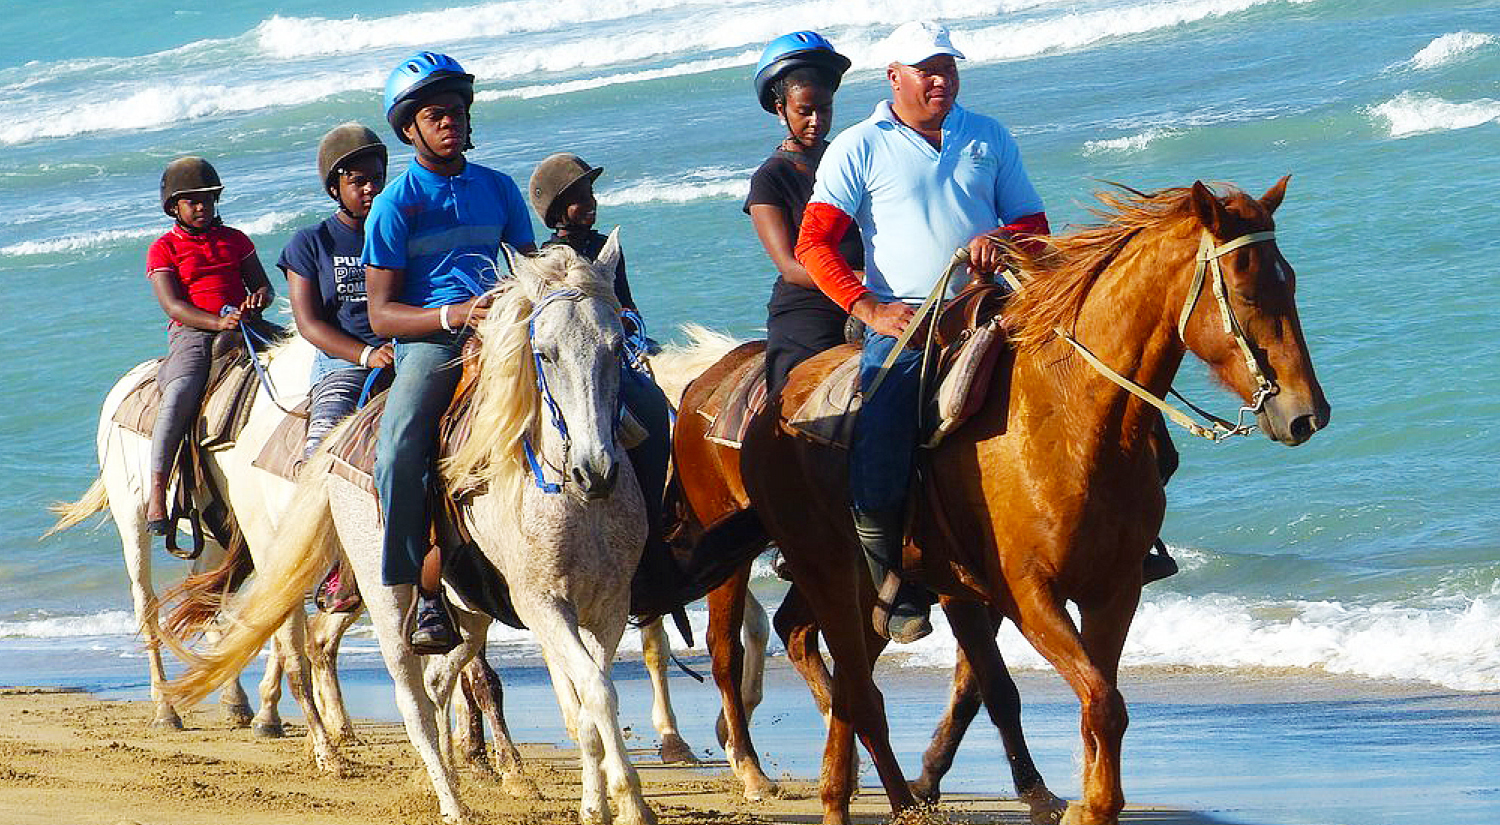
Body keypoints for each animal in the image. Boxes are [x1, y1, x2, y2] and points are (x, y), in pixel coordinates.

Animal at [162, 235, 657, 825]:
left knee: (440, 680)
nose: (595, 470)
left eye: (616, 344)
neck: (569, 497)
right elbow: (594, 693)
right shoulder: (541, 604)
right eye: (546, 351)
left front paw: (600, 803)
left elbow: (591, 698)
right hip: (386, 597)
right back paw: (447, 801)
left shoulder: (609, 604)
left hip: (466, 609)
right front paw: (629, 803)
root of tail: (345, 433)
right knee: (407, 695)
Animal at [735, 177, 1326, 822]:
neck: (1070, 418)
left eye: (1292, 282)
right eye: (1245, 289)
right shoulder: (1025, 594)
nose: (1306, 414)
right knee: (854, 689)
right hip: (827, 573)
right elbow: (1093, 699)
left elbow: (1100, 705)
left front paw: (1090, 802)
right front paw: (1081, 805)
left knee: (852, 684)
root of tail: (772, 405)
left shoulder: (1112, 592)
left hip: (875, 591)